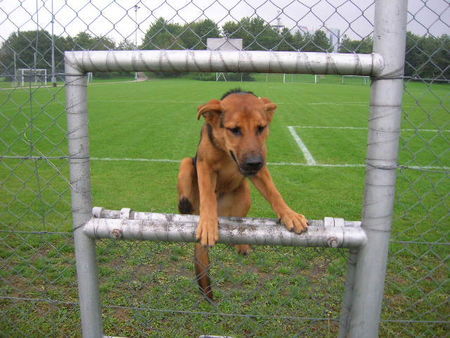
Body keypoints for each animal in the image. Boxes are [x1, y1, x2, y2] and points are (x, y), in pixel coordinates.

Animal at [178, 88, 308, 300]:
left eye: (261, 128)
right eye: (235, 130)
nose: (253, 163)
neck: (226, 153)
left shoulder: (261, 169)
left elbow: (274, 193)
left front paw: (290, 214)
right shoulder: (205, 165)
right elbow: (207, 196)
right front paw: (207, 224)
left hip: (245, 192)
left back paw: (242, 245)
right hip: (187, 163)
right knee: (187, 199)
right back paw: (187, 206)